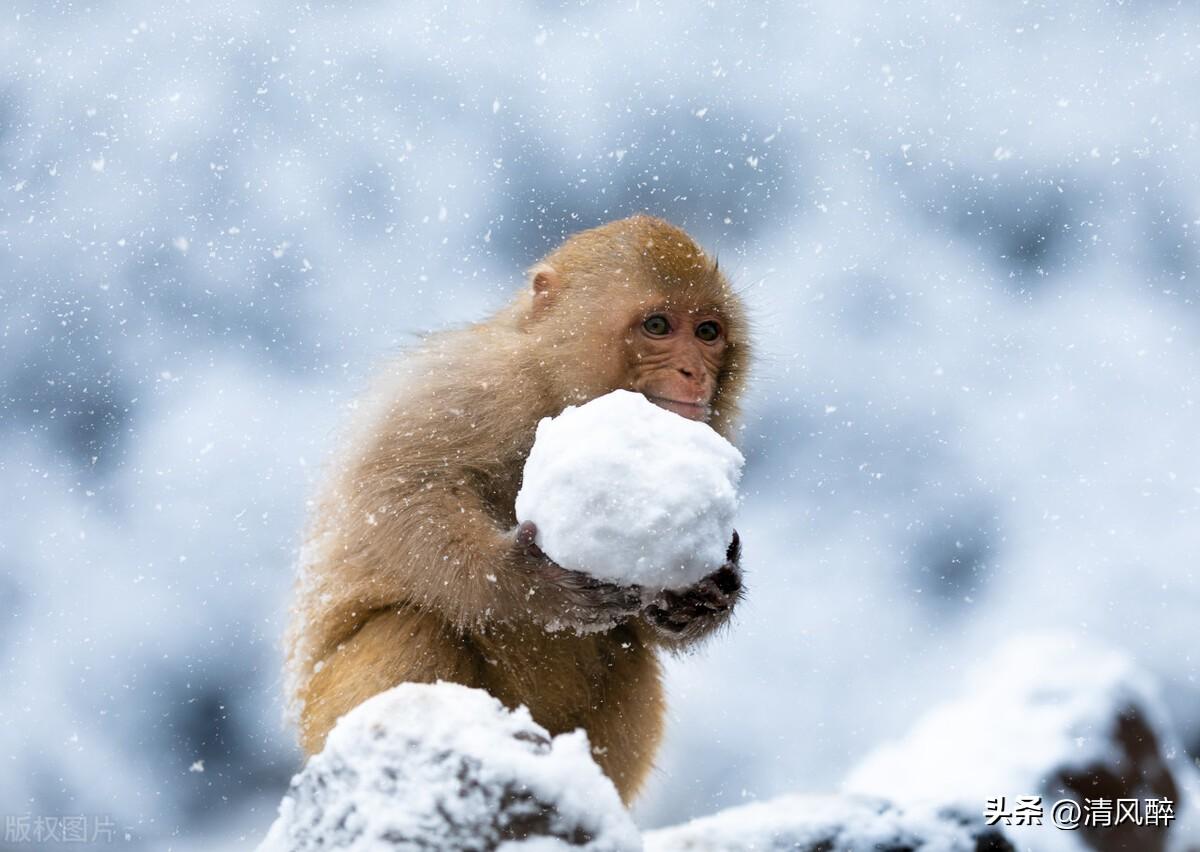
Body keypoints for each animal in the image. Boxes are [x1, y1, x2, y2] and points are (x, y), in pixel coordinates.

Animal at [283, 217, 748, 806]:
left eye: (708, 332)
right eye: (658, 326)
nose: (693, 372)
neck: (556, 390)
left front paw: (701, 593)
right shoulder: (474, 387)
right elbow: (395, 493)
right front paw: (528, 582)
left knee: (627, 656)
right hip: (325, 720)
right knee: (411, 627)